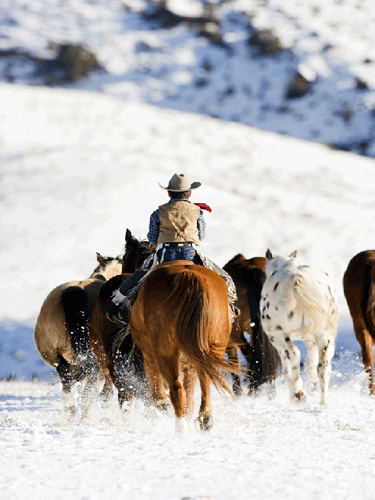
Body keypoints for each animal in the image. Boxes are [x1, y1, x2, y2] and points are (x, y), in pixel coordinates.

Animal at [129, 262, 235, 434]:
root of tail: (188, 277)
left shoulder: (149, 355)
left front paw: (161, 404)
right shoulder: (189, 365)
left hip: (165, 351)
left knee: (176, 389)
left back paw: (180, 428)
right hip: (210, 349)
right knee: (205, 382)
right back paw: (205, 419)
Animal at [262, 250, 338, 406]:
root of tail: (295, 279)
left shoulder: (278, 339)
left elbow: (287, 369)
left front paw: (297, 393)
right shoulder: (310, 339)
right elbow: (311, 364)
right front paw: (313, 386)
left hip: (278, 336)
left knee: (295, 355)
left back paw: (298, 394)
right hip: (323, 335)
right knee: (323, 366)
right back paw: (324, 401)